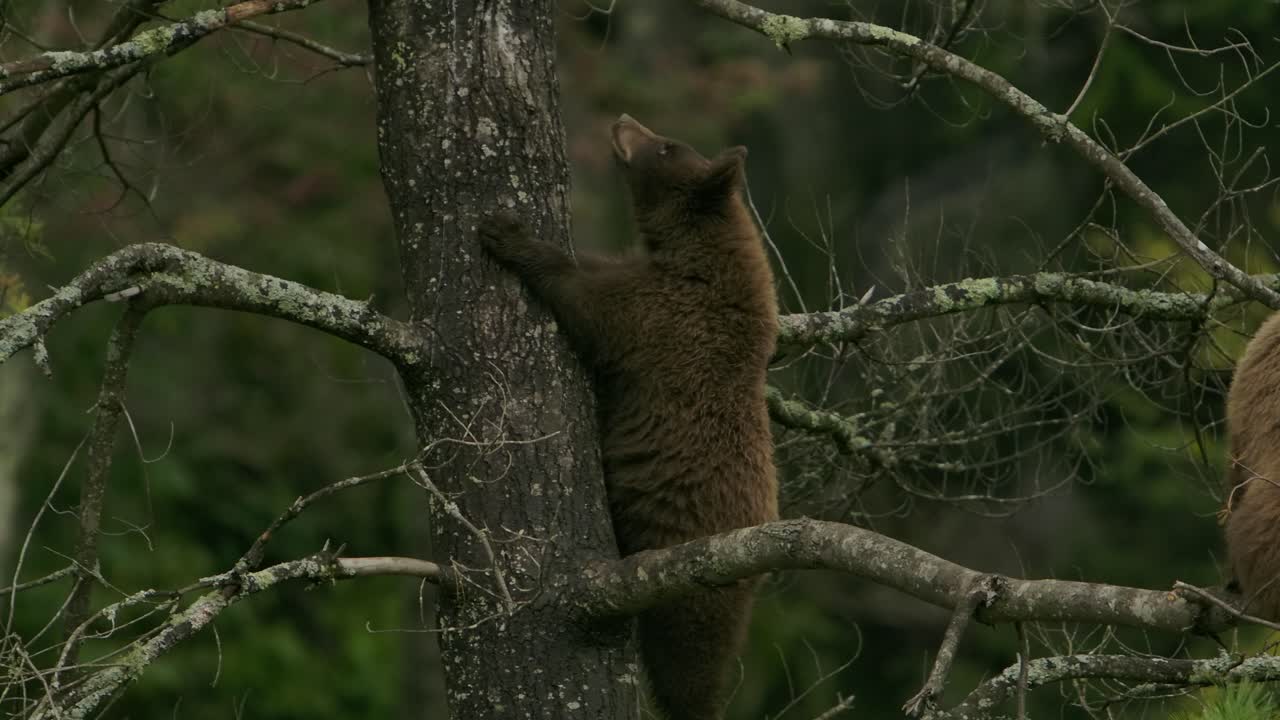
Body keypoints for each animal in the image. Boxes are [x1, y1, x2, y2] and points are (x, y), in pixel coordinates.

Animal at [479, 114, 779, 720]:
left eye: (666, 146)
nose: (623, 122)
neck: (692, 257)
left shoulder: (660, 317)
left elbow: (586, 300)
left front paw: (510, 235)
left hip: (690, 575)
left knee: (685, 662)